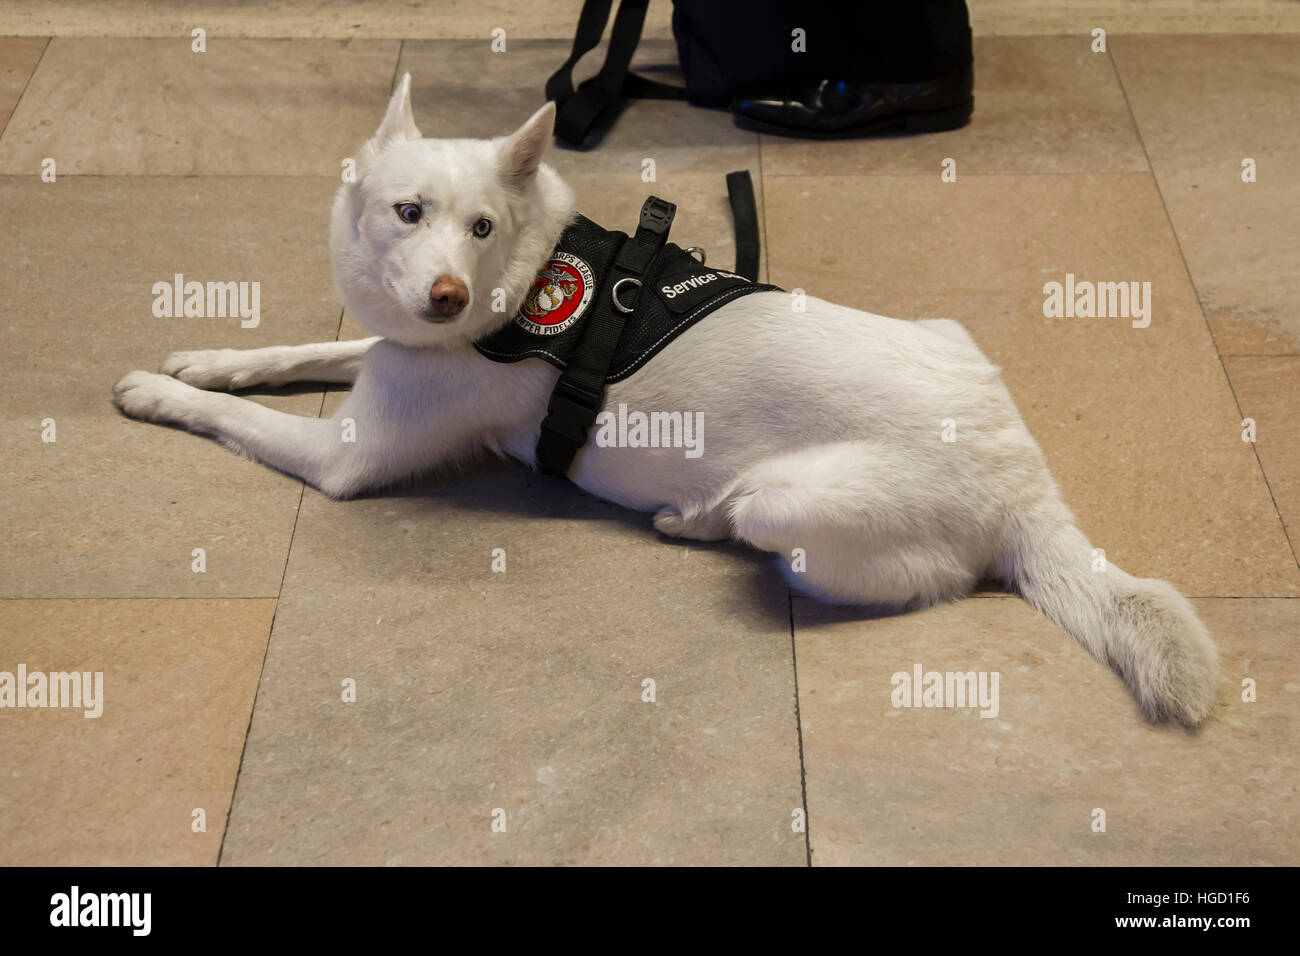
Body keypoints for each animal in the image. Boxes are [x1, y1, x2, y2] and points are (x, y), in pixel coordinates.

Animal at [111, 76, 1216, 723]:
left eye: (481, 226)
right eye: (409, 212)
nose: (449, 294)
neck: (527, 277)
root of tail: (1024, 485)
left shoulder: (345, 455)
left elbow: (243, 422)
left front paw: (159, 393)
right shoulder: (392, 352)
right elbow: (301, 350)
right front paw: (208, 356)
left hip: (793, 506)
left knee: (909, 577)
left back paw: (695, 518)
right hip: (952, 335)